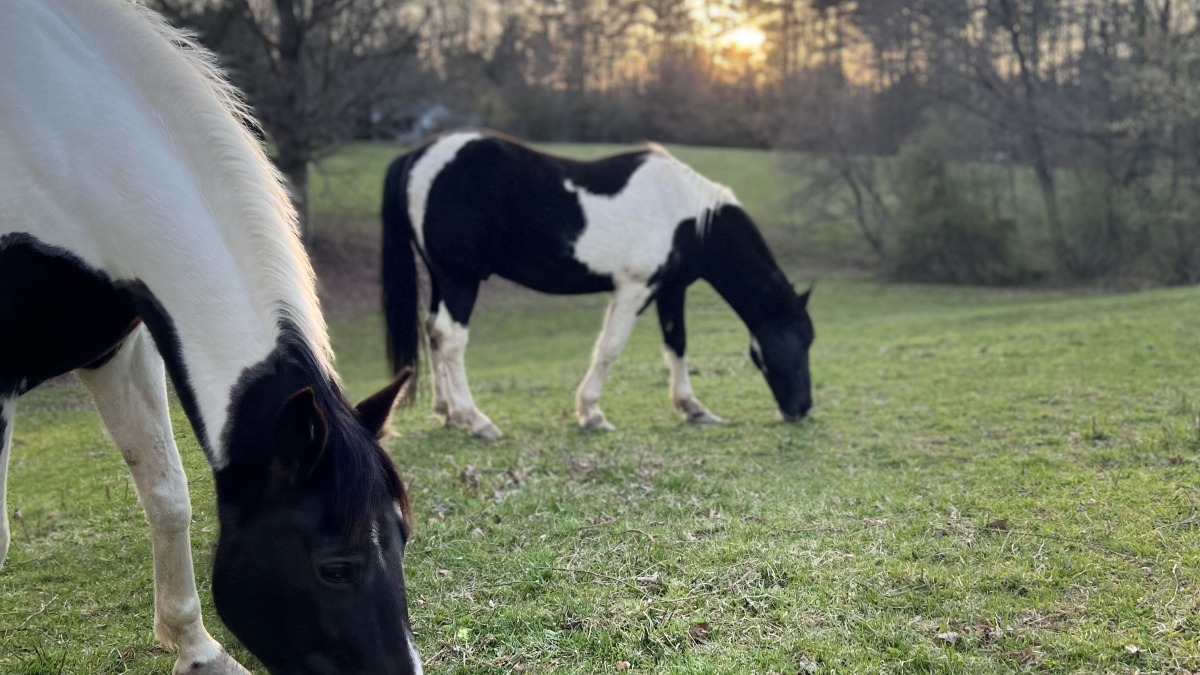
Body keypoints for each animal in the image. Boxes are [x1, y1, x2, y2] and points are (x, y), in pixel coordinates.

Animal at [0, 2, 422, 673]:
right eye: (335, 568)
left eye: (404, 538)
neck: (49, 146)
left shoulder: (117, 350)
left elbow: (167, 494)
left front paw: (197, 650)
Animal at [381, 130, 814, 439]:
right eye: (800, 340)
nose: (803, 407)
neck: (689, 215)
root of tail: (417, 157)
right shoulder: (635, 288)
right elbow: (609, 348)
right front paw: (591, 413)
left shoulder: (670, 290)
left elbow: (676, 345)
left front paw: (693, 408)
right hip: (460, 279)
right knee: (450, 337)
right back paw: (475, 420)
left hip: (441, 277)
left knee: (432, 332)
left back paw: (447, 412)